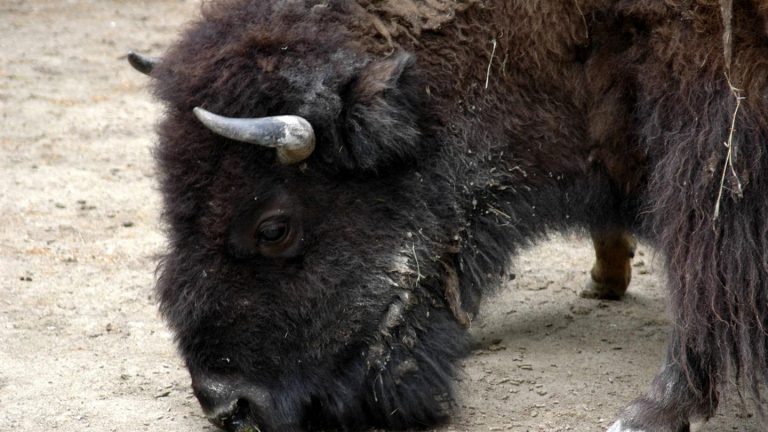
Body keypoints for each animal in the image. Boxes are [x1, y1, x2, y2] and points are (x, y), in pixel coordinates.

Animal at [129, 0, 768, 432]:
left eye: (273, 228)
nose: (227, 404)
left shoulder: (713, 110)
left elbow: (704, 256)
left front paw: (649, 411)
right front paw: (606, 279)